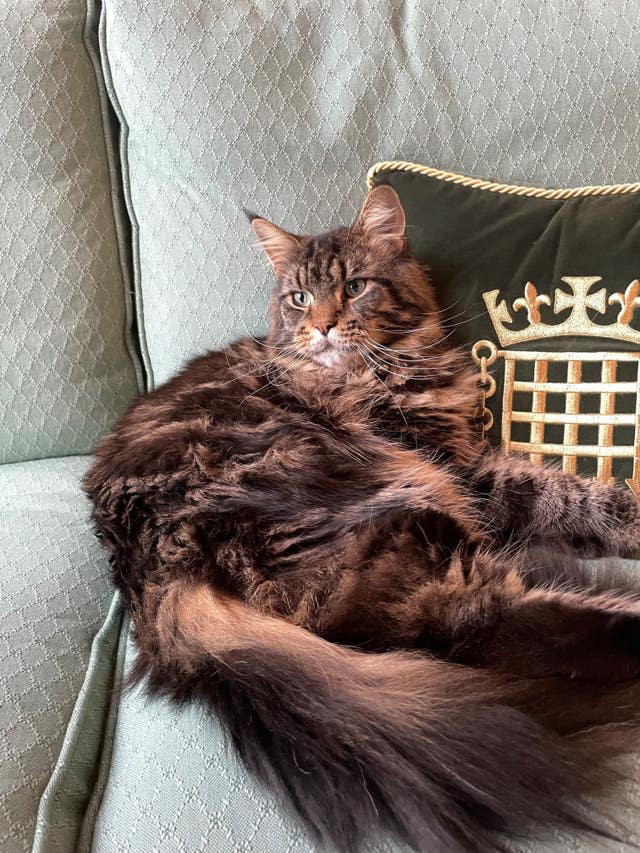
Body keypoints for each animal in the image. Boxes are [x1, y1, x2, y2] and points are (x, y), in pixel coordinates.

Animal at [82, 188, 640, 852]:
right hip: (395, 504)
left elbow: (572, 497)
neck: (387, 368)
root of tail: (153, 576)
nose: (322, 325)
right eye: (300, 297)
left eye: (354, 287)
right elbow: (568, 495)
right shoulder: (454, 467)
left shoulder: (464, 463)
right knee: (476, 617)